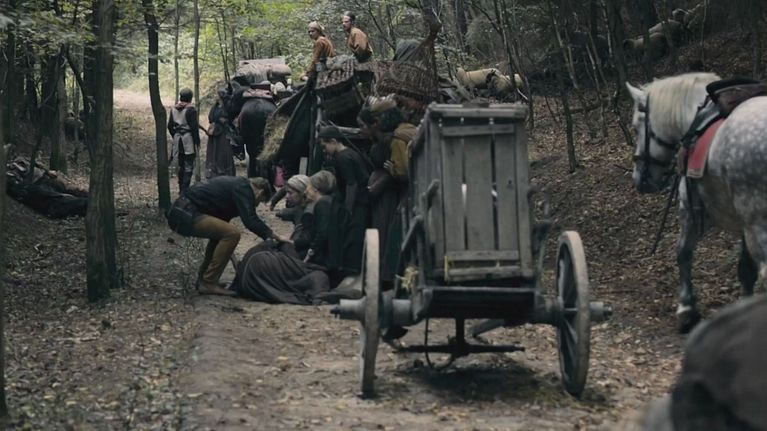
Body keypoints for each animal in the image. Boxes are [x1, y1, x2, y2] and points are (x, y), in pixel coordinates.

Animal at [625, 72, 766, 333]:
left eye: (636, 126)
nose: (639, 179)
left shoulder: (692, 209)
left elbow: (683, 252)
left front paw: (686, 310)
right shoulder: (743, 225)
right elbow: (746, 272)